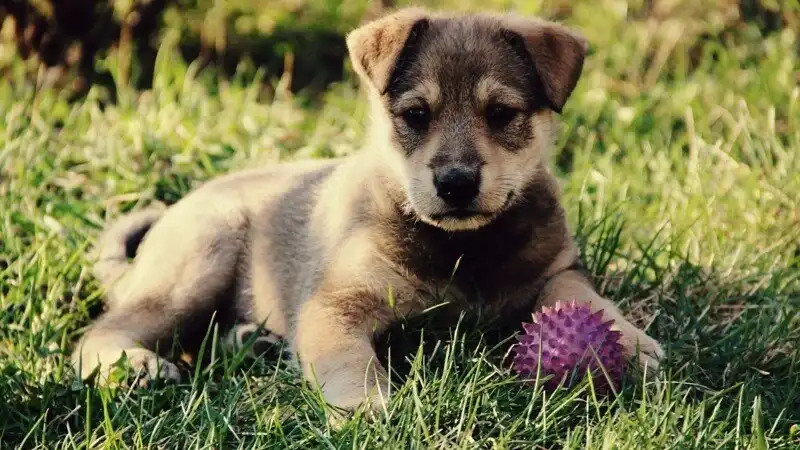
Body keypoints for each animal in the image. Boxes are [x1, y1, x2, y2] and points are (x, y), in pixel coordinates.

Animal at [72, 7, 664, 416]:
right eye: (416, 115)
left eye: (501, 113)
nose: (455, 183)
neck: (463, 249)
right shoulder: (337, 303)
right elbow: (350, 360)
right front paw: (367, 406)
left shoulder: (557, 268)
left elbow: (584, 299)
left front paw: (632, 343)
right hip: (196, 264)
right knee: (99, 333)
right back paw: (138, 366)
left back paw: (254, 341)